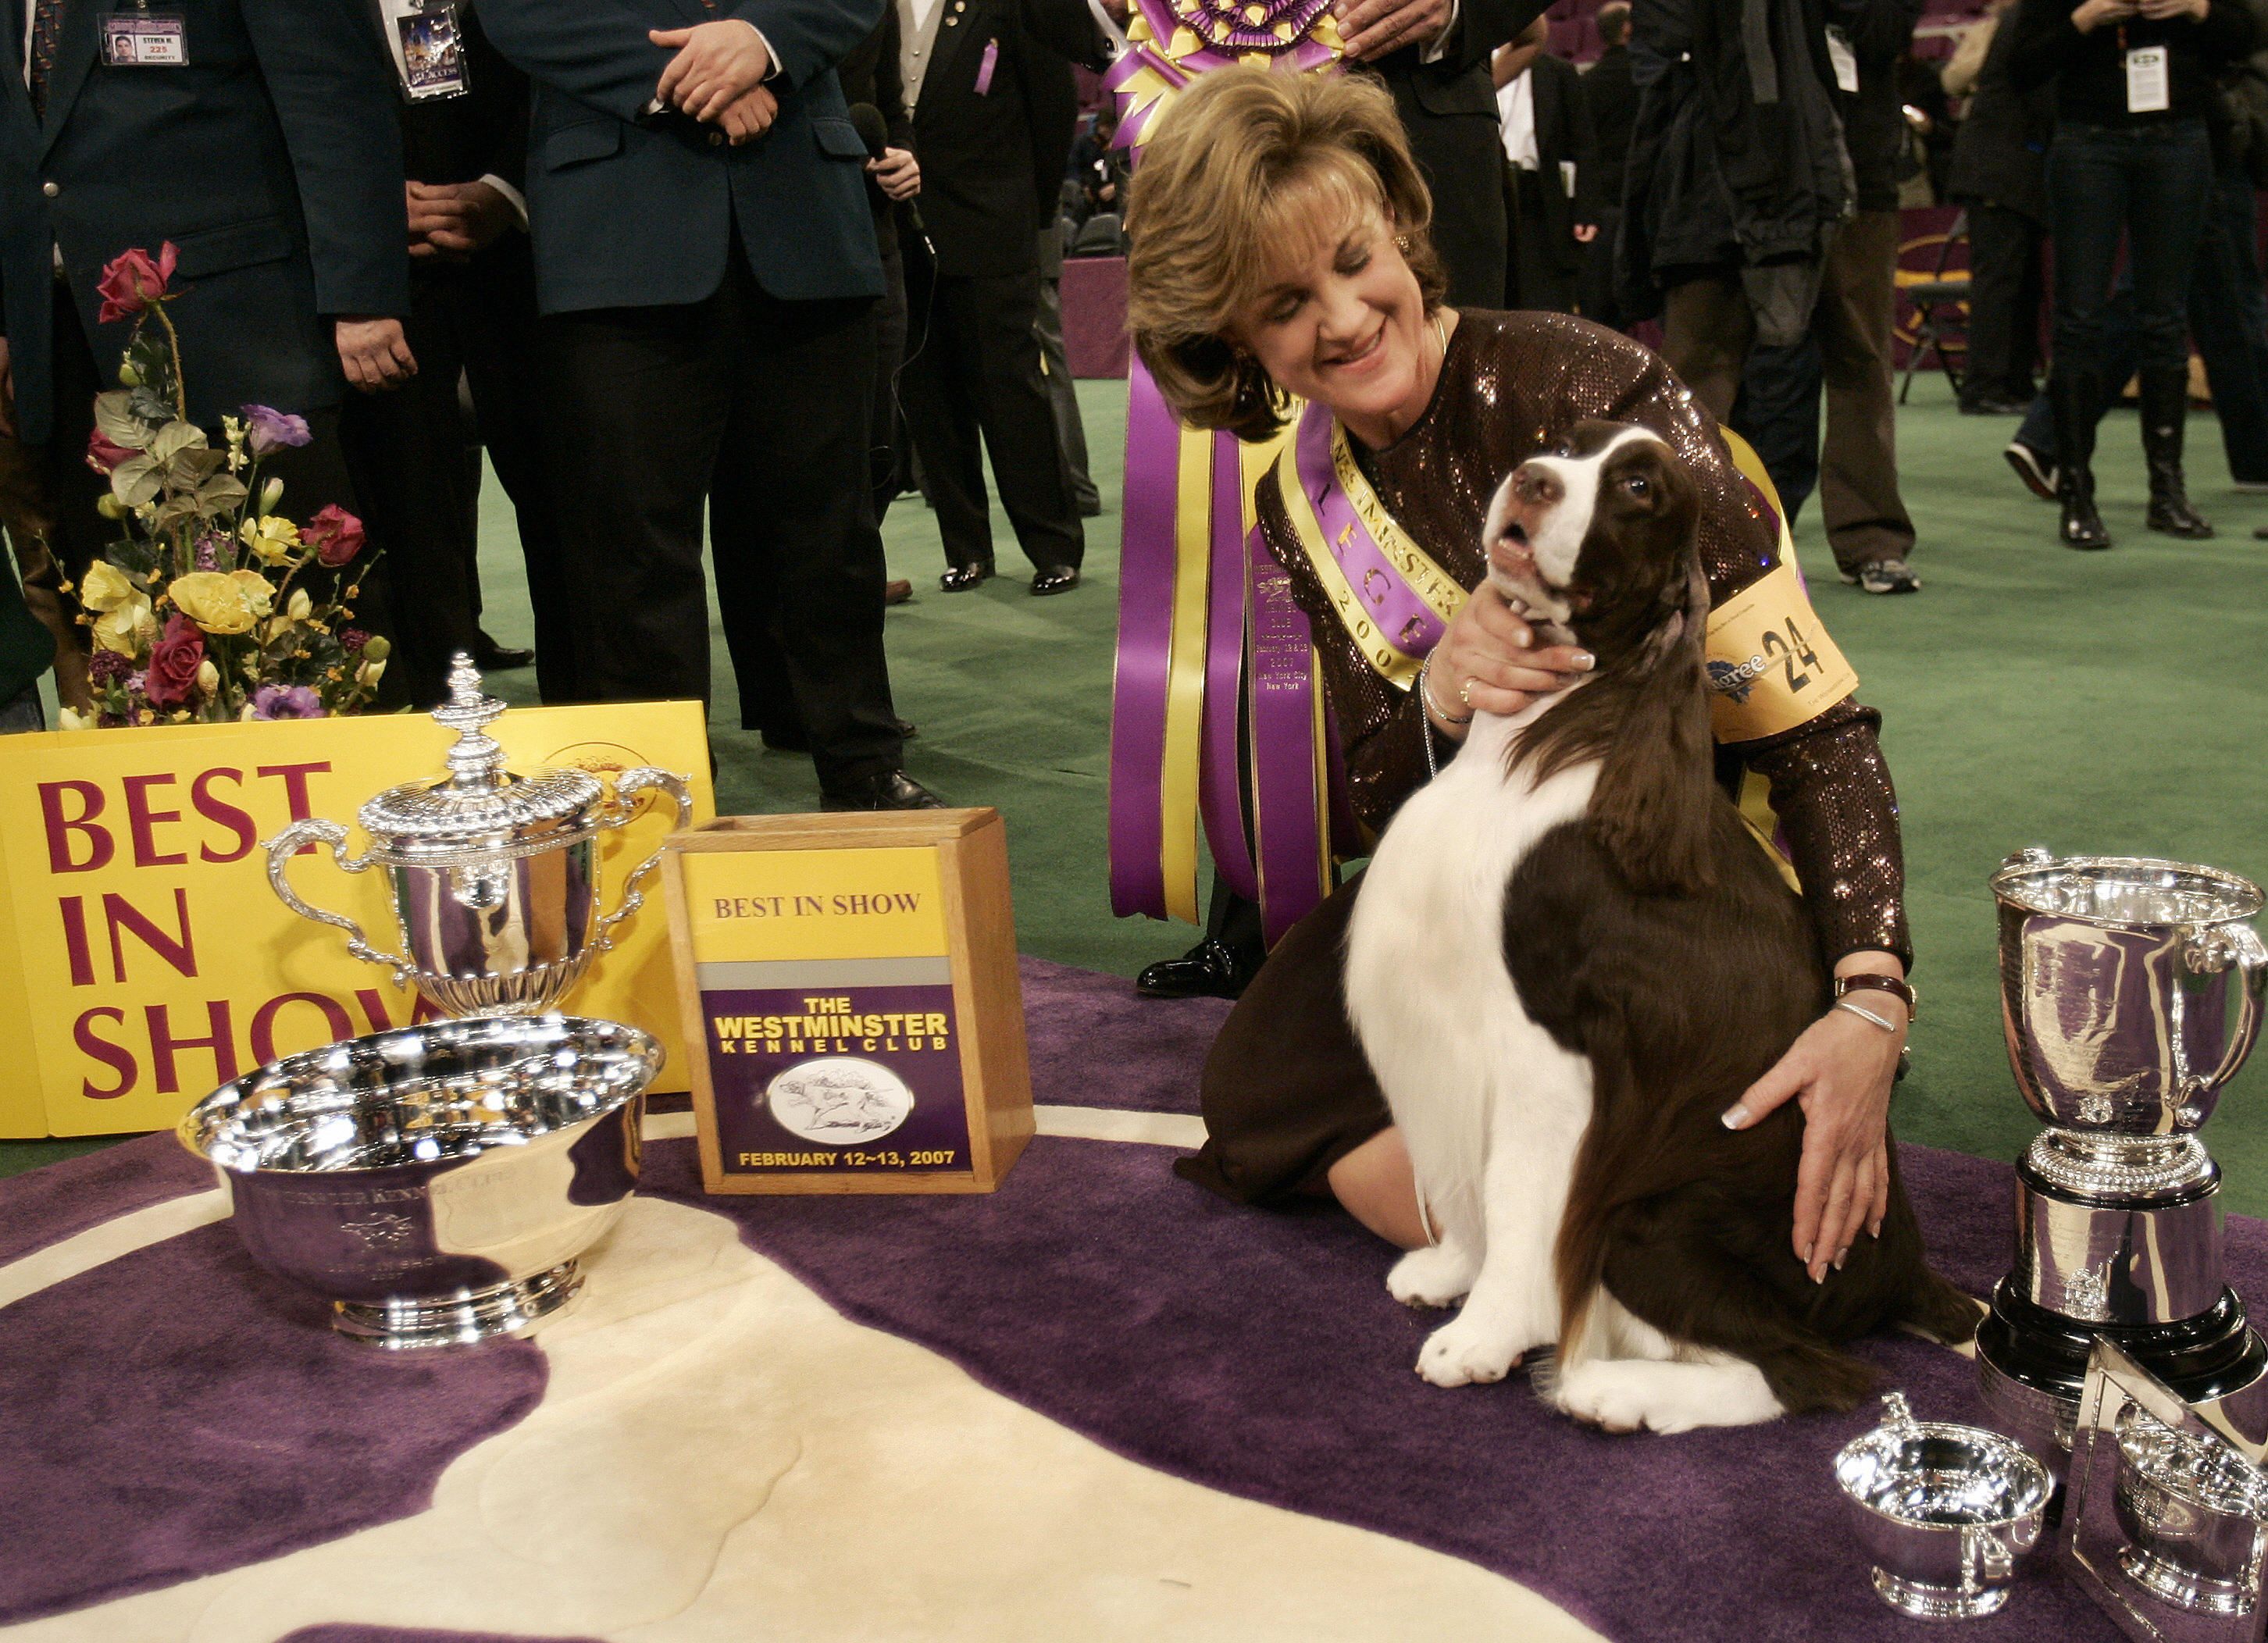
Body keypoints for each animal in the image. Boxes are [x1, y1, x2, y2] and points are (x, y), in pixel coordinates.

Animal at [1343, 416, 1968, 1432]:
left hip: (1653, 1216)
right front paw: (1449, 1272)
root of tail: (1902, 1268)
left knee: (1814, 1373)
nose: (1533, 480)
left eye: (1639, 488)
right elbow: (1476, 1186)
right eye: (1569, 442)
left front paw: (1482, 1336)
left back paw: (1609, 1391)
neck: (1555, 731)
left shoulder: (1553, 1051)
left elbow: (1518, 1197)